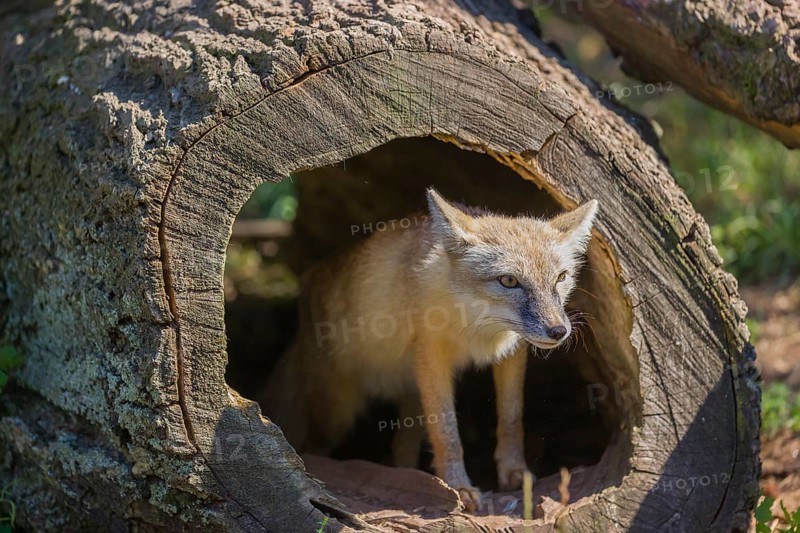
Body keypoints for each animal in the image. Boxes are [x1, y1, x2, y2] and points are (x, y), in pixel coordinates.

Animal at [262, 188, 598, 511]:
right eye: (509, 280)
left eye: (561, 278)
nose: (559, 331)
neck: (477, 329)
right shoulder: (432, 356)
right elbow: (447, 432)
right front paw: (459, 488)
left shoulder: (512, 352)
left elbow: (511, 417)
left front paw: (515, 472)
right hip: (336, 415)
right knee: (313, 446)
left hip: (409, 398)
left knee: (402, 448)